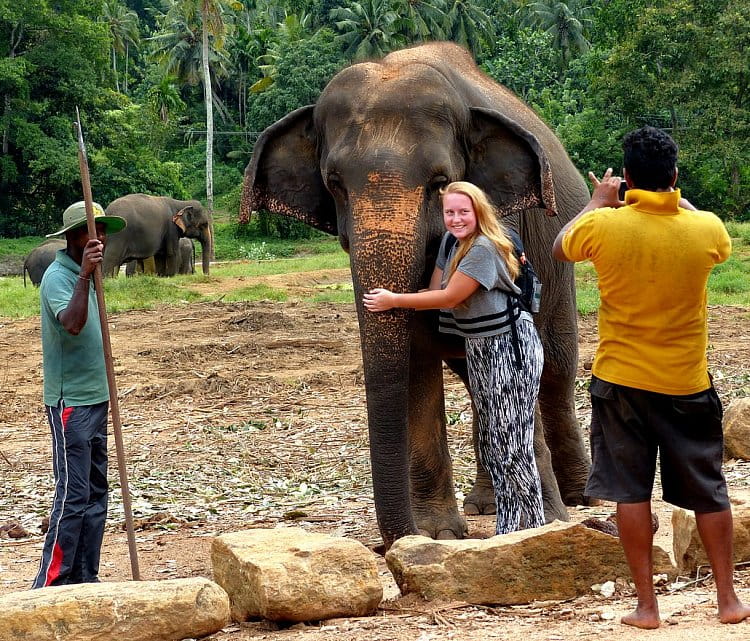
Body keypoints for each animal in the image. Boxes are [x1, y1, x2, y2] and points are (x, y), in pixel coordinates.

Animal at [241, 42, 592, 548]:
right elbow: (416, 361)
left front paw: (547, 521)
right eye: (334, 184)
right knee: (478, 381)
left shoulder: (512, 225)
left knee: (557, 369)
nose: (392, 542)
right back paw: (487, 505)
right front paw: (436, 534)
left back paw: (581, 495)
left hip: (560, 267)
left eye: (440, 182)